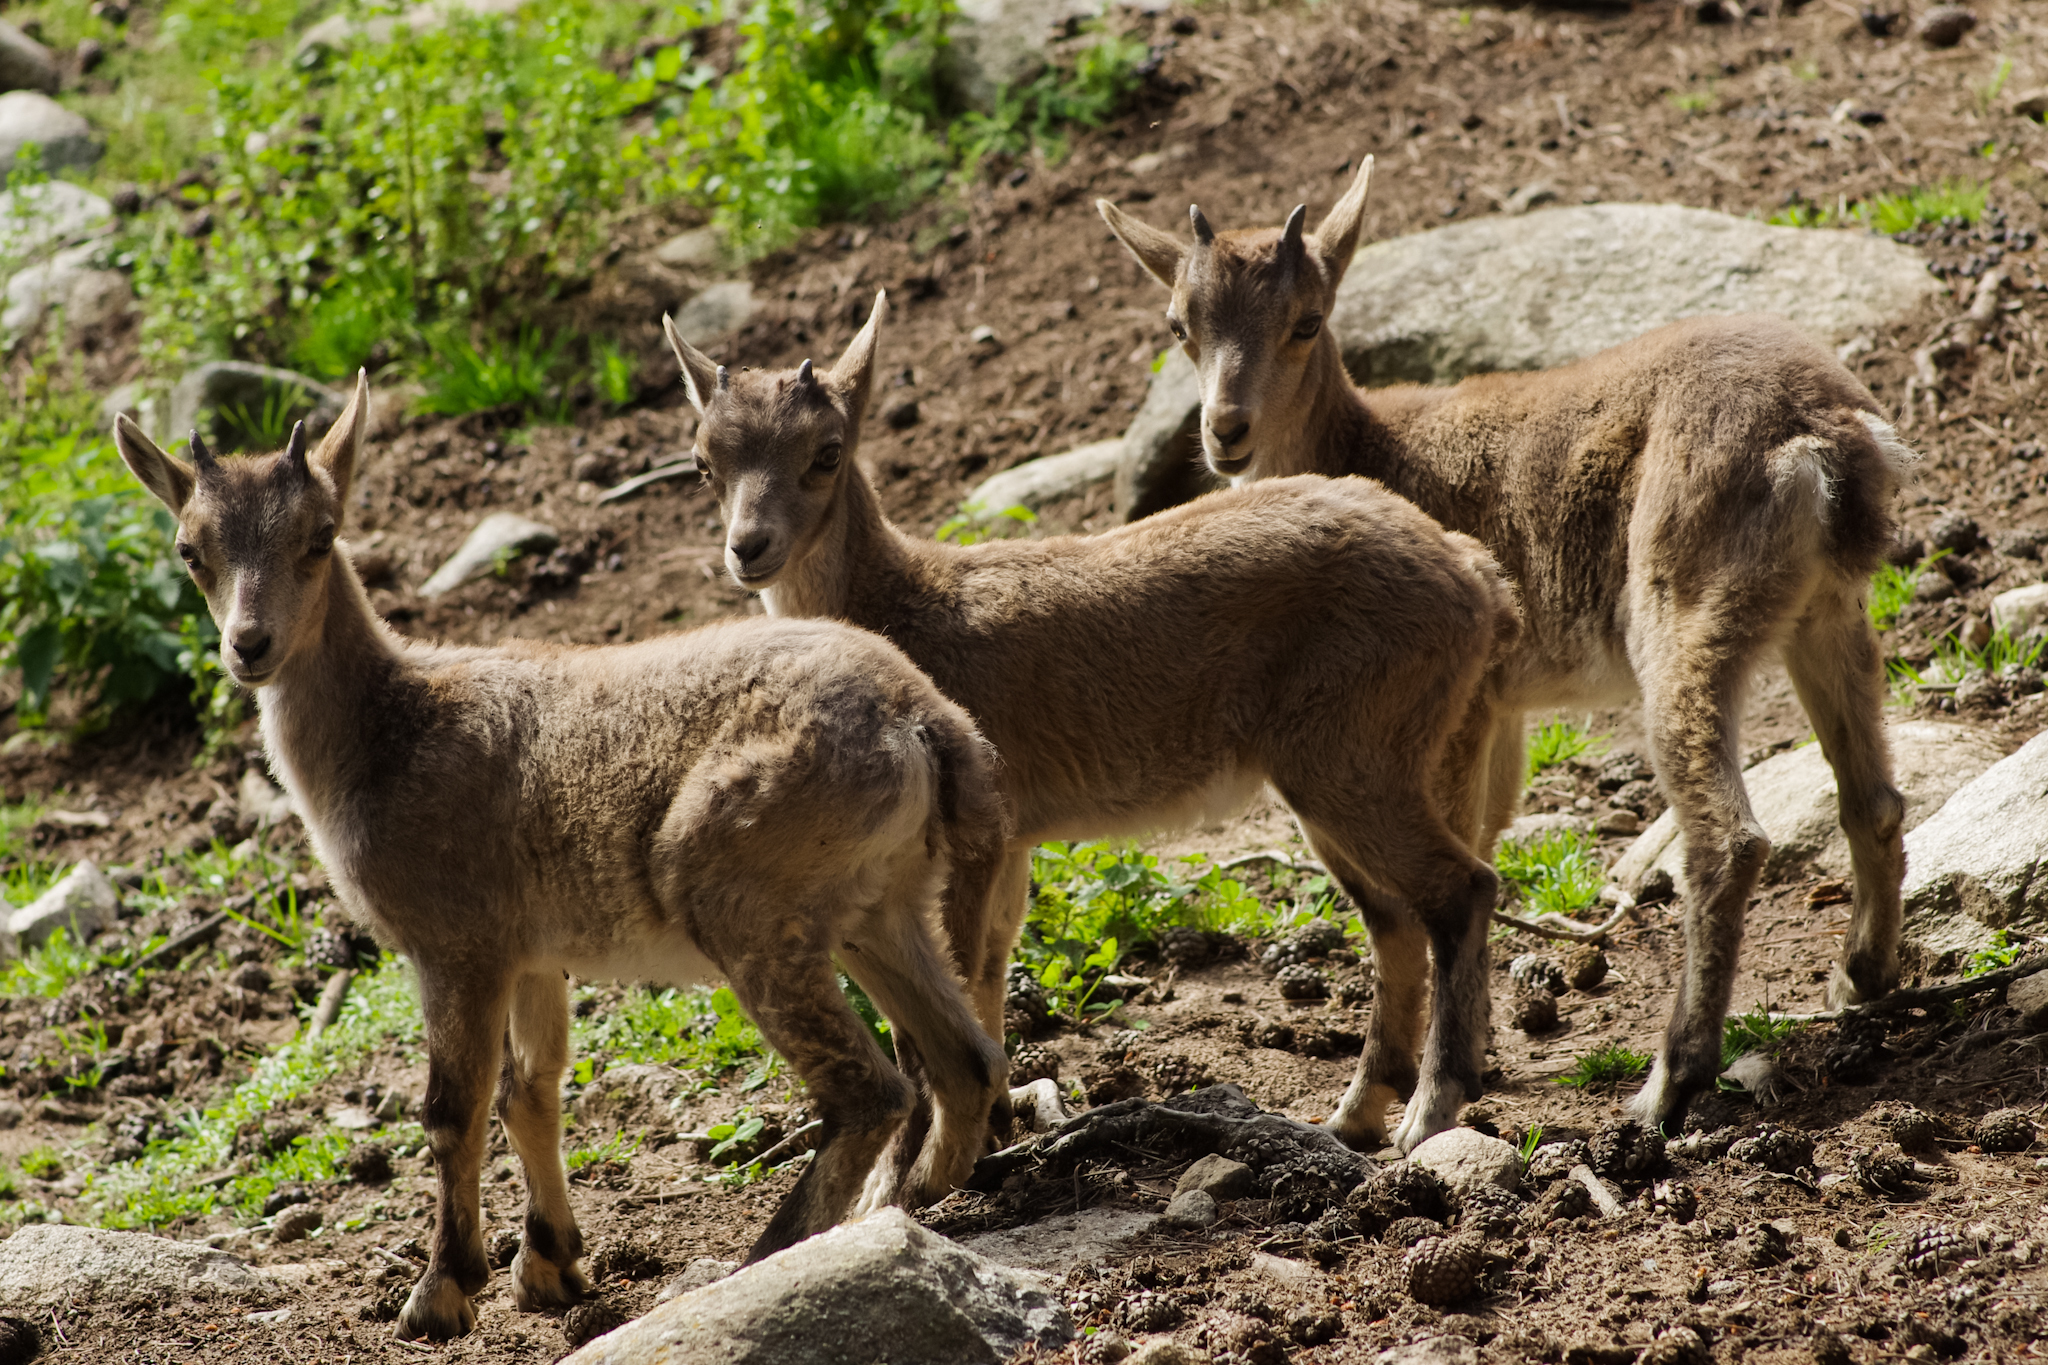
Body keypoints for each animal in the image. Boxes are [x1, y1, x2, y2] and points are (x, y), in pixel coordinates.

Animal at [112, 376, 1007, 1342]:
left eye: (320, 533)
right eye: (190, 549)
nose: (250, 645)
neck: (390, 734)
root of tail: (926, 724)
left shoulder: (456, 943)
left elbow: (453, 1108)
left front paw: (440, 1290)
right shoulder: (533, 951)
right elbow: (529, 1091)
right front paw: (549, 1265)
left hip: (741, 894)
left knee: (871, 1087)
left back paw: (762, 1254)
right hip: (878, 908)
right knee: (965, 1059)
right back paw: (913, 1195)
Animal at [667, 294, 1523, 1162]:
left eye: (828, 450)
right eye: (702, 461)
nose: (749, 547)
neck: (905, 605)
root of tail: (1477, 580)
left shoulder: (967, 834)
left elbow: (952, 984)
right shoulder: (1012, 839)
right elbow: (990, 970)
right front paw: (995, 1132)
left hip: (1353, 753)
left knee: (1459, 889)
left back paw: (1430, 1109)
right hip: (1346, 769)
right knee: (1392, 915)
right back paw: (1353, 1114)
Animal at [1105, 154, 1916, 1137]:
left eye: (1307, 319)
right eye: (1179, 325)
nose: (1227, 432)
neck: (1371, 447)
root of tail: (1831, 442)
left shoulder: (1461, 701)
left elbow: (1451, 861)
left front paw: (1412, 1094)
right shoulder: (1503, 707)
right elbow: (1486, 832)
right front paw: (1469, 1056)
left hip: (1683, 608)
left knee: (1727, 838)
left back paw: (1667, 1081)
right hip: (1827, 611)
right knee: (1872, 795)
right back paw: (1859, 978)